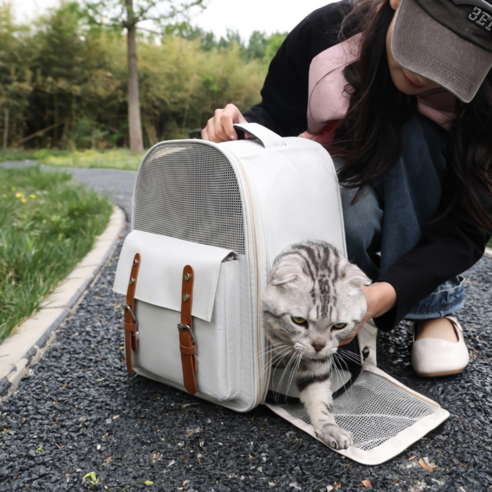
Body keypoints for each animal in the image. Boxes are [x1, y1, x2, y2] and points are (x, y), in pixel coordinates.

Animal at [264, 240, 368, 452]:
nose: (318, 345)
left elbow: (320, 397)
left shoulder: (317, 365)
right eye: (298, 320)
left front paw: (330, 429)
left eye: (339, 325)